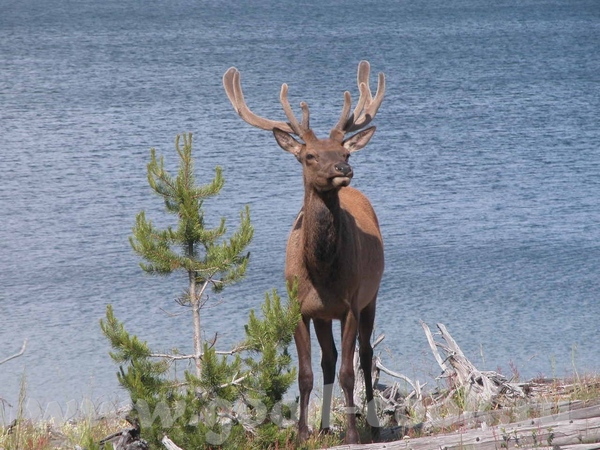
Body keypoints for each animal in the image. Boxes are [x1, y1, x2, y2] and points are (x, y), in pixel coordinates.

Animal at [221, 61, 384, 444]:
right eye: (310, 156)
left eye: (345, 152)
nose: (344, 169)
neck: (320, 272)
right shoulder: (299, 307)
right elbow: (306, 373)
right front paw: (301, 433)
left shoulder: (351, 304)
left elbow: (348, 372)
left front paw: (352, 436)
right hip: (325, 316)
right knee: (328, 359)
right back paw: (324, 426)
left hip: (372, 296)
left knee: (366, 355)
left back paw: (374, 425)